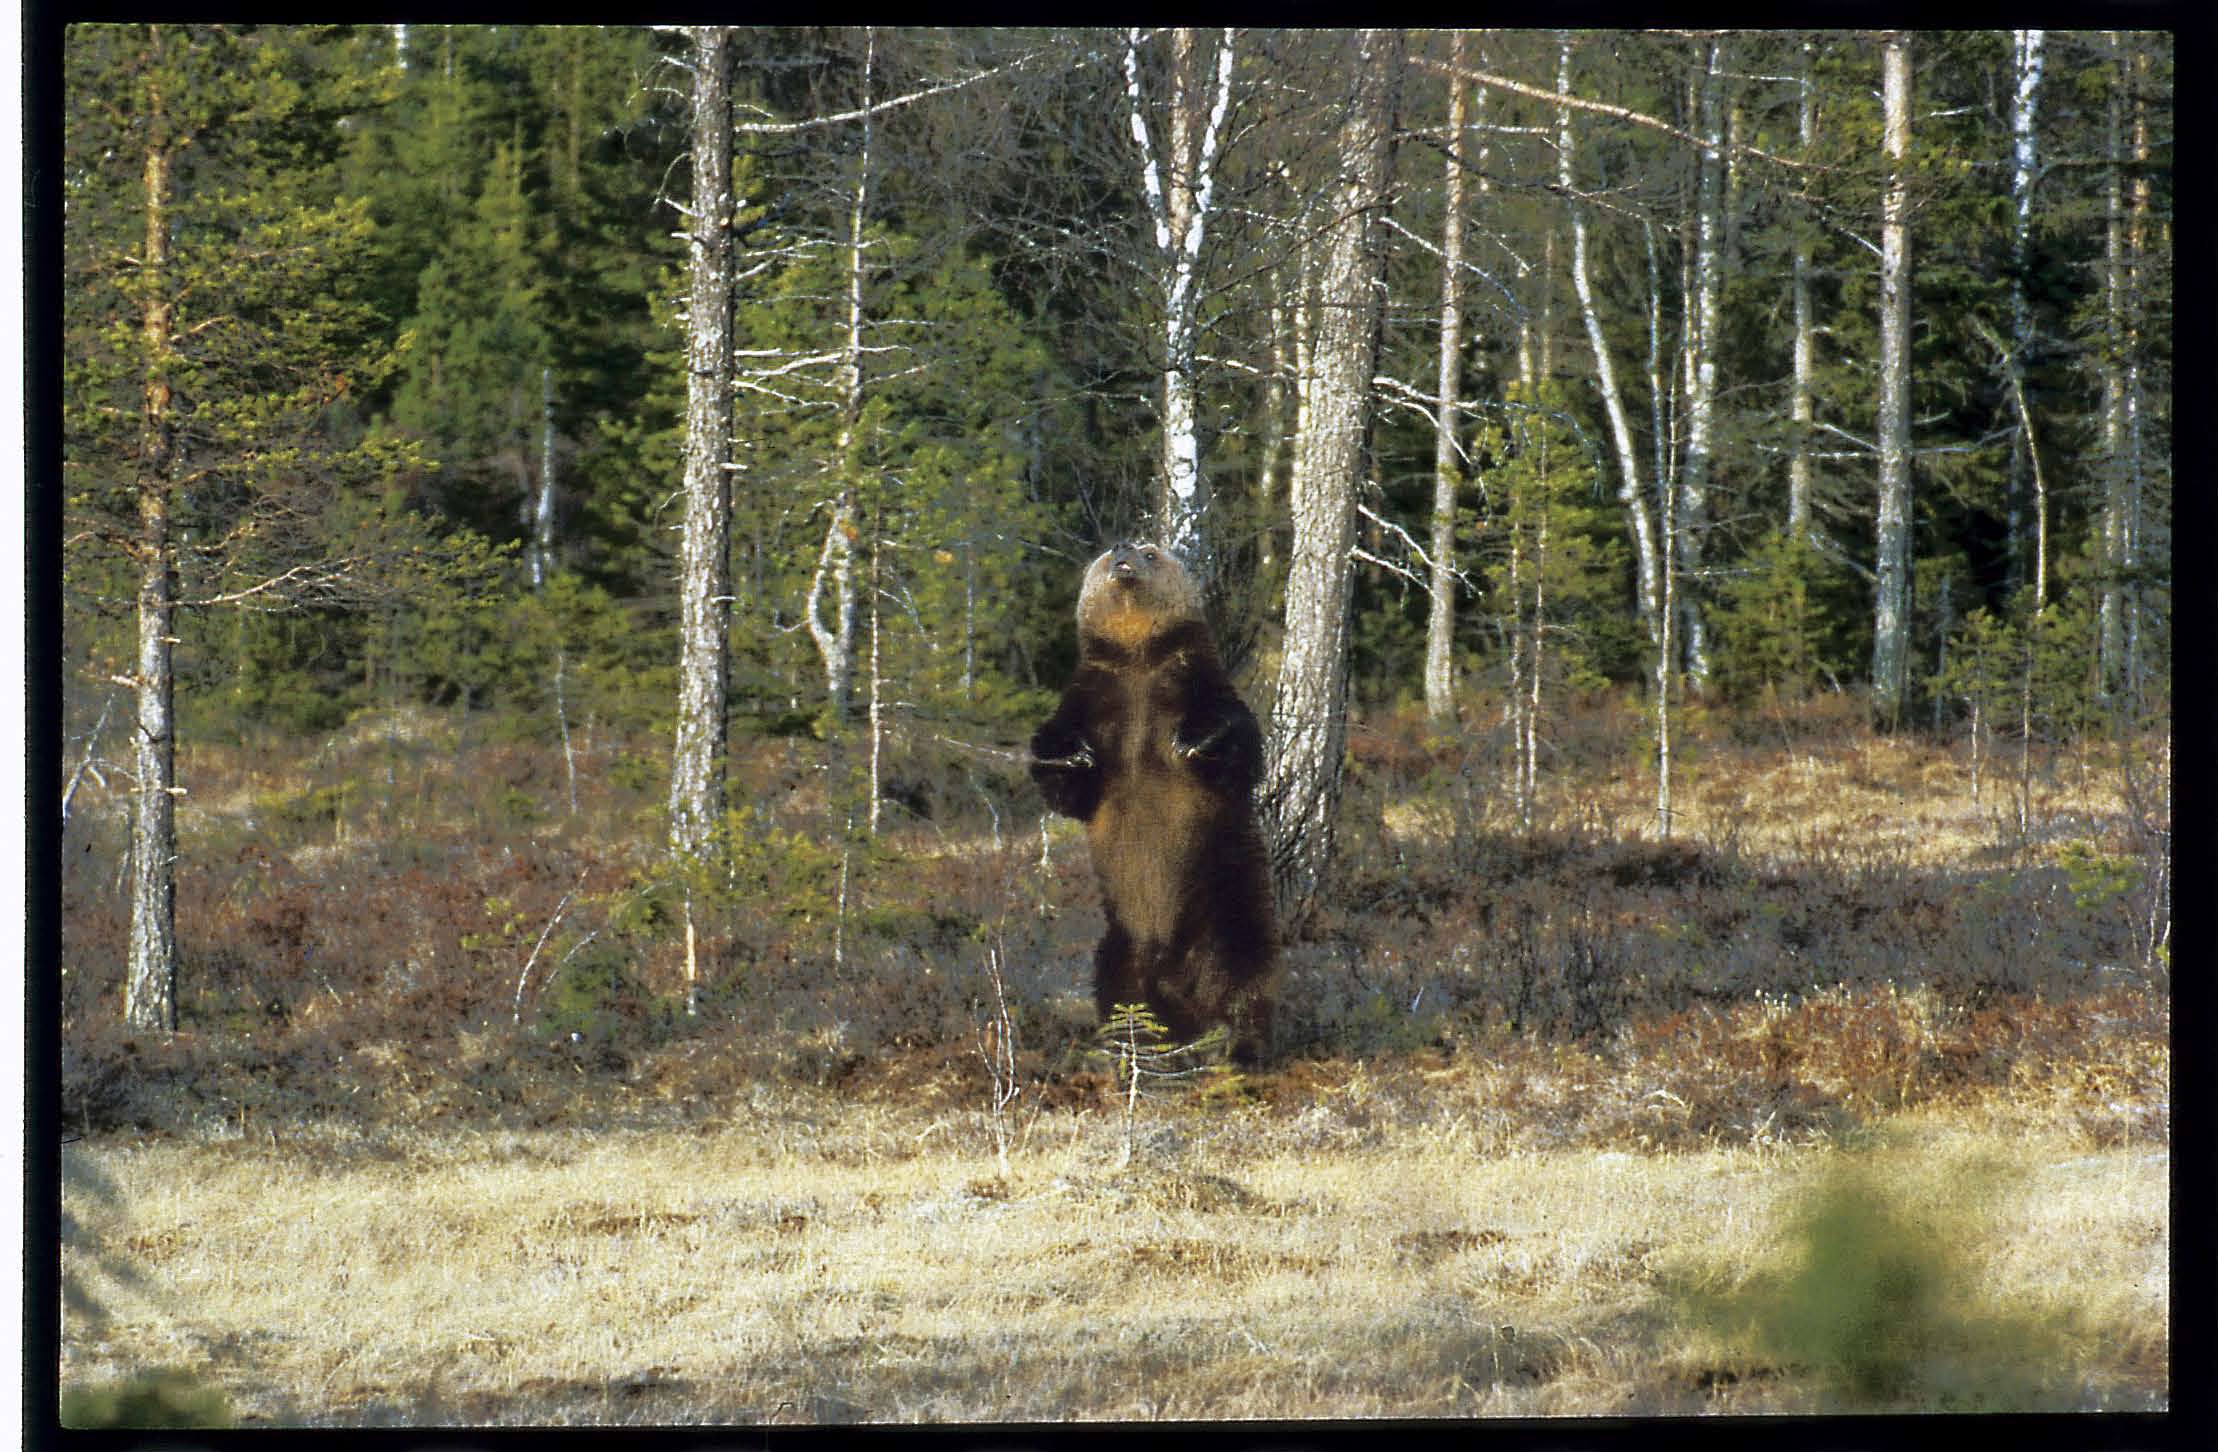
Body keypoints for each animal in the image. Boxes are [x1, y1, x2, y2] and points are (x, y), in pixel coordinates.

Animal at [1024, 538, 1286, 1064]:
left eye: (1150, 552)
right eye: (1110, 553)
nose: (1123, 548)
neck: (1138, 659)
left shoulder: (1193, 681)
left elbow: (1239, 738)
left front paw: (1194, 741)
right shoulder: (1092, 696)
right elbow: (1065, 779)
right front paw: (1070, 757)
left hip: (1229, 902)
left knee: (1245, 969)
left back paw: (1239, 1045)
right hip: (1120, 933)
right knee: (1113, 982)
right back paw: (1129, 1042)